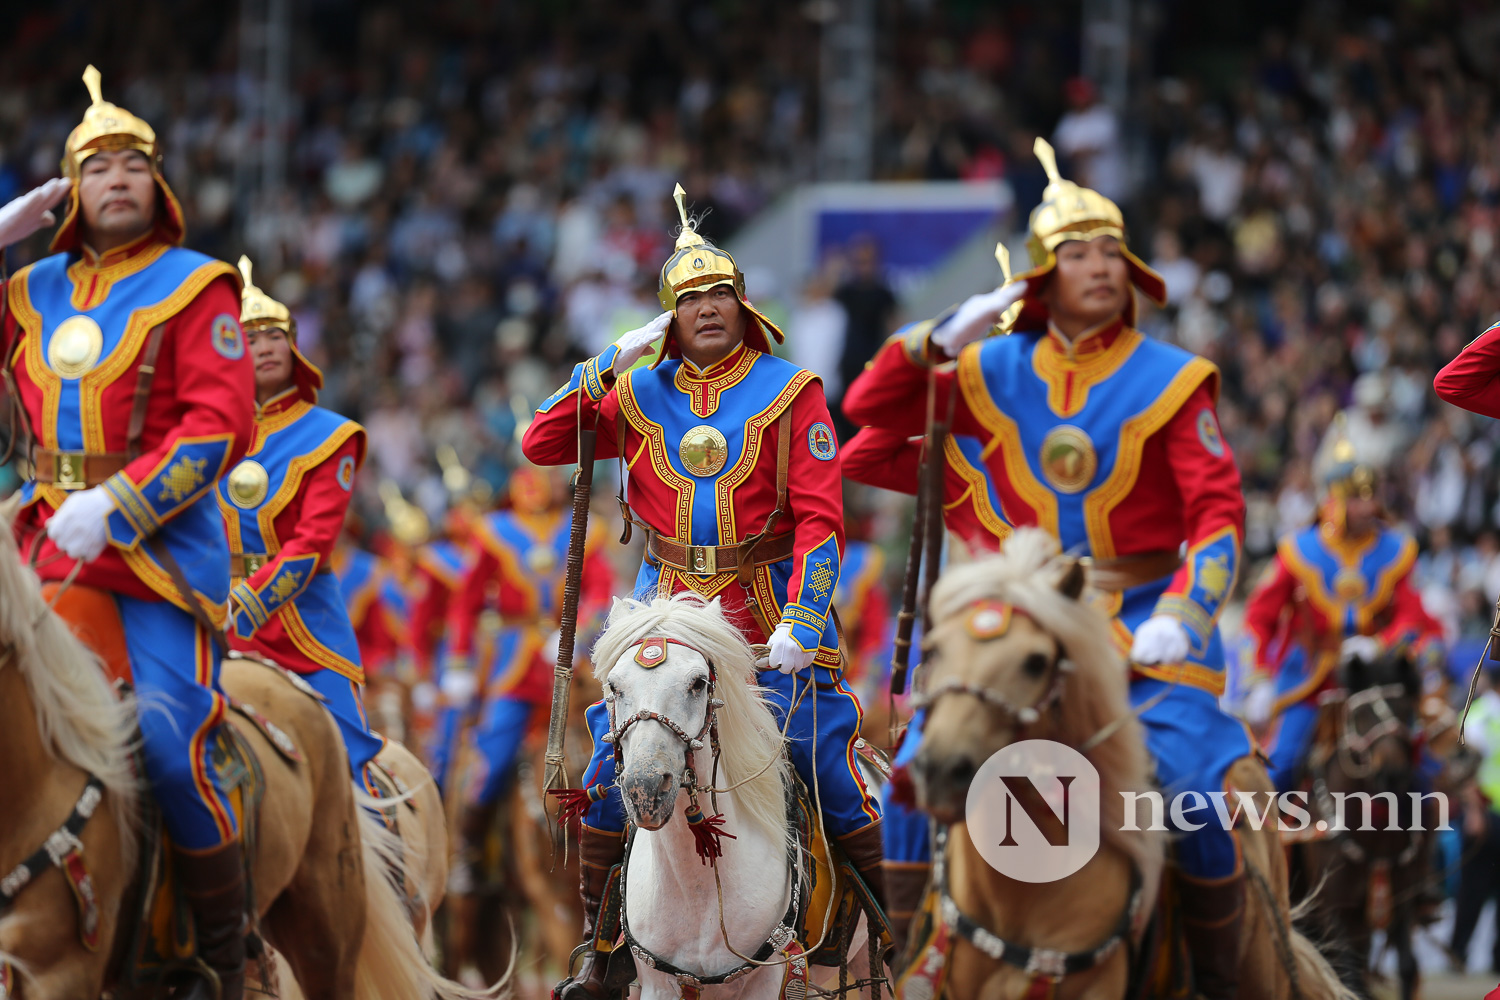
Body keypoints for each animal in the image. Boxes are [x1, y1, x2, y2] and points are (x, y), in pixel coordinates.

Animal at [588, 593, 876, 1000]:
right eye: (614, 686)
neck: (697, 889)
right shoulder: (657, 984)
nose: (646, 789)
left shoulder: (771, 978)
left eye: (698, 682)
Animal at [1296, 650, 1434, 1000]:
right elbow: (1349, 976)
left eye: (1406, 710)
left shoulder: (1402, 900)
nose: (1392, 774)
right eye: (1360, 715)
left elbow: (1406, 967)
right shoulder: (1336, 909)